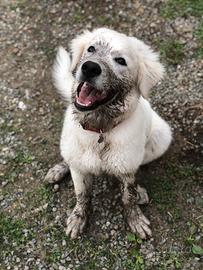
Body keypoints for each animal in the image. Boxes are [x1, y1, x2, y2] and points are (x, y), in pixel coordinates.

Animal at [45, 27, 172, 238]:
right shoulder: (80, 171)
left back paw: (140, 192)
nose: (89, 68)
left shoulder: (127, 168)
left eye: (121, 60)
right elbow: (82, 195)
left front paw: (135, 218)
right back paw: (59, 168)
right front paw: (78, 218)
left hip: (161, 138)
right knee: (68, 158)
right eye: (91, 48)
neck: (100, 129)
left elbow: (128, 196)